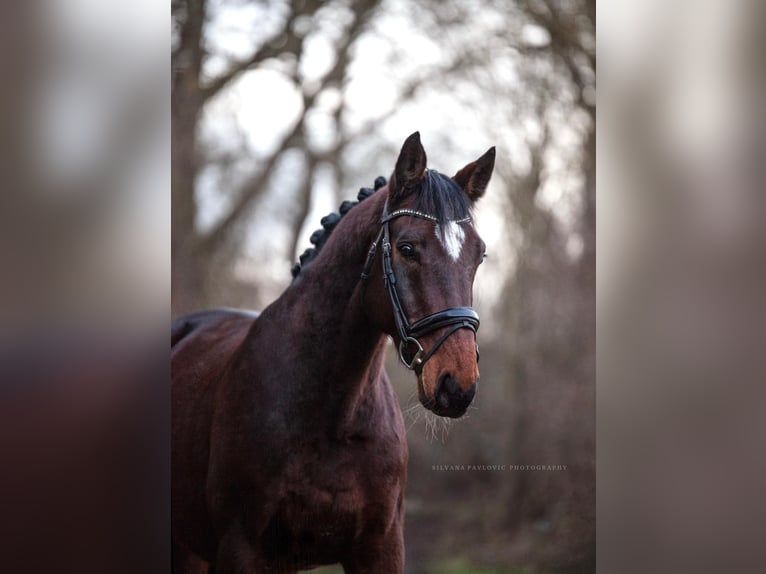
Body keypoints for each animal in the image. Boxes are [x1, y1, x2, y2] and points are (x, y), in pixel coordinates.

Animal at [172, 133, 498, 572]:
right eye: (407, 248)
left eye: (479, 255)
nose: (456, 384)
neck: (333, 418)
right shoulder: (243, 550)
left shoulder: (380, 548)